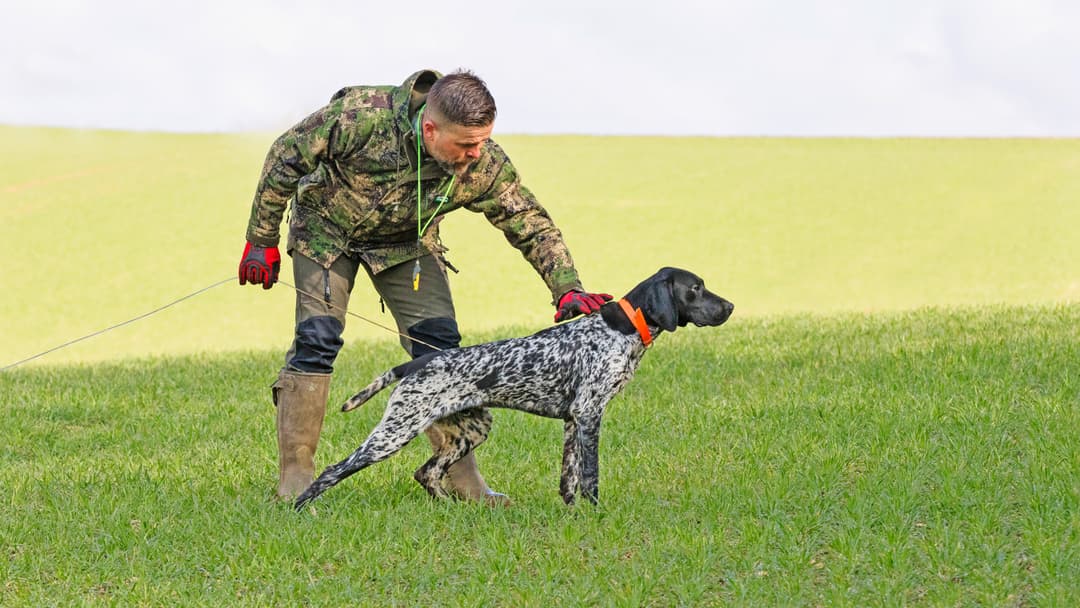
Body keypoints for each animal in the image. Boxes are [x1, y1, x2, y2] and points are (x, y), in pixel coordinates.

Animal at [295, 268, 734, 511]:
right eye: (696, 288)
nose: (729, 306)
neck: (620, 328)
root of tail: (416, 363)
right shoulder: (589, 416)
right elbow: (590, 477)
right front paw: (596, 514)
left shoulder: (573, 422)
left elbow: (568, 480)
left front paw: (573, 515)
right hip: (394, 432)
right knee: (333, 472)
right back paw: (301, 510)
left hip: (471, 429)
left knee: (427, 472)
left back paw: (454, 512)